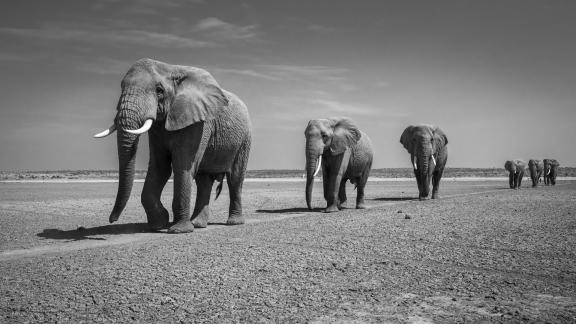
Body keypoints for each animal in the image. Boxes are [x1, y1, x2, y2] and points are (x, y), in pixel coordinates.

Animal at [93, 58, 251, 233]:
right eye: (121, 87)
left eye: (159, 90)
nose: (112, 219)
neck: (171, 69)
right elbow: (160, 167)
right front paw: (159, 224)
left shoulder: (199, 124)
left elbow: (182, 166)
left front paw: (178, 230)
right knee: (204, 180)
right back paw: (198, 224)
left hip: (244, 140)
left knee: (235, 178)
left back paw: (233, 222)